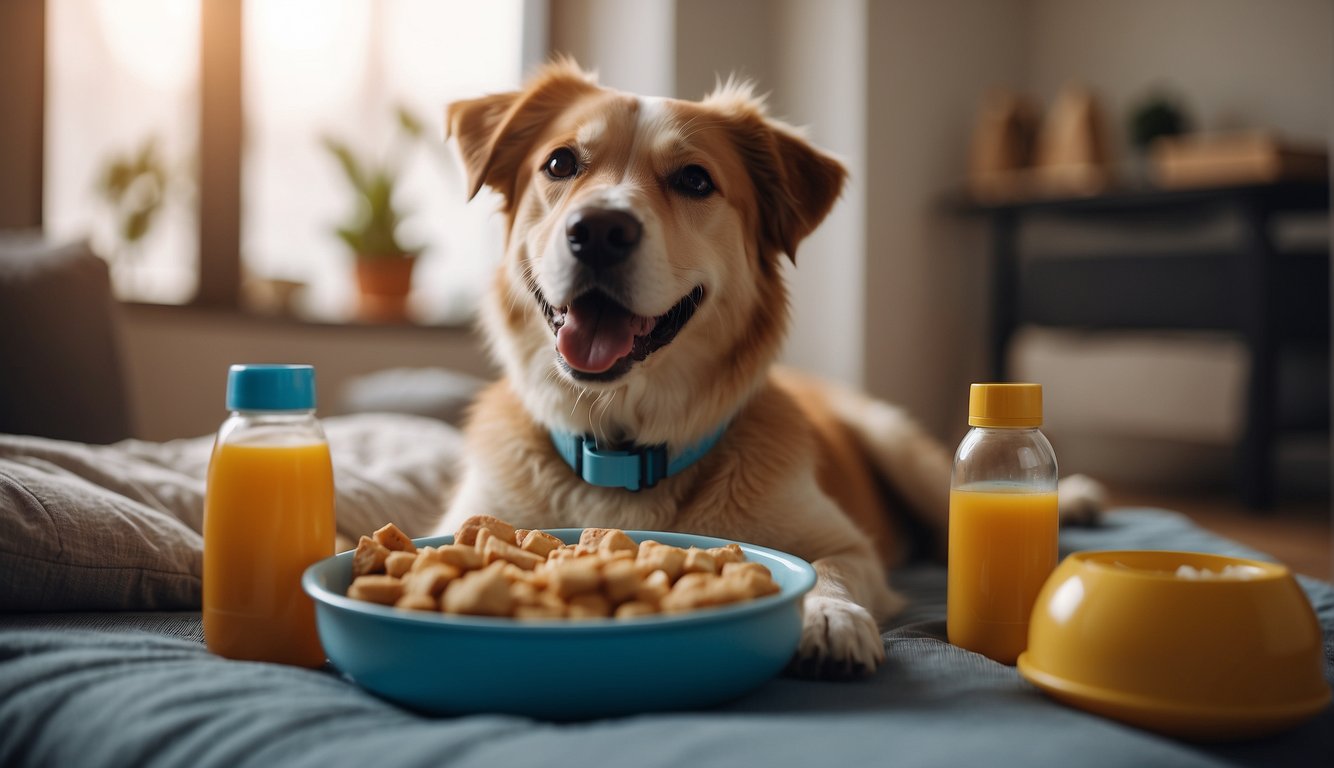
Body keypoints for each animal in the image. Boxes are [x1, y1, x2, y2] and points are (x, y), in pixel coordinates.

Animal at [434, 61, 1104, 677]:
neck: (622, 449)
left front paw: (828, 615)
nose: (599, 229)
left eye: (695, 179)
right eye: (559, 164)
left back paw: (1074, 499)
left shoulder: (849, 545)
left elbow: (824, 568)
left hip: (897, 447)